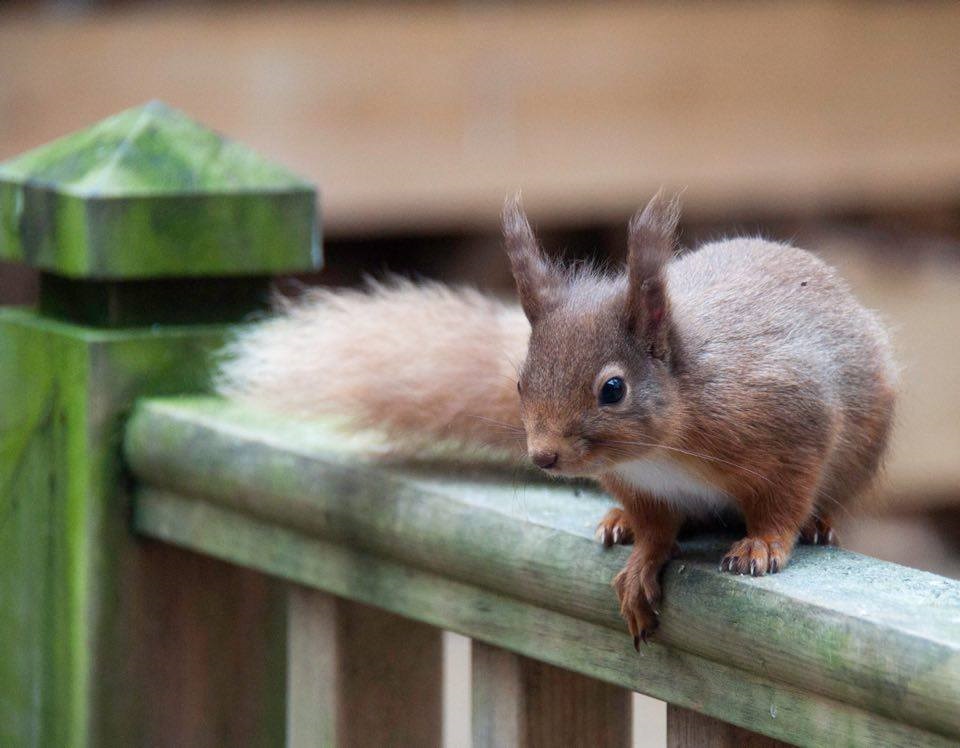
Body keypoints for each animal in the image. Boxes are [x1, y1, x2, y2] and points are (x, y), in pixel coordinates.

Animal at [219, 191, 900, 644]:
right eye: (519, 381)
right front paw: (641, 560)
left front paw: (764, 544)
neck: (663, 448)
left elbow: (784, 498)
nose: (543, 456)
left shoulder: (790, 423)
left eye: (614, 389)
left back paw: (820, 525)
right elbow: (657, 527)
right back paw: (616, 522)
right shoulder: (642, 486)